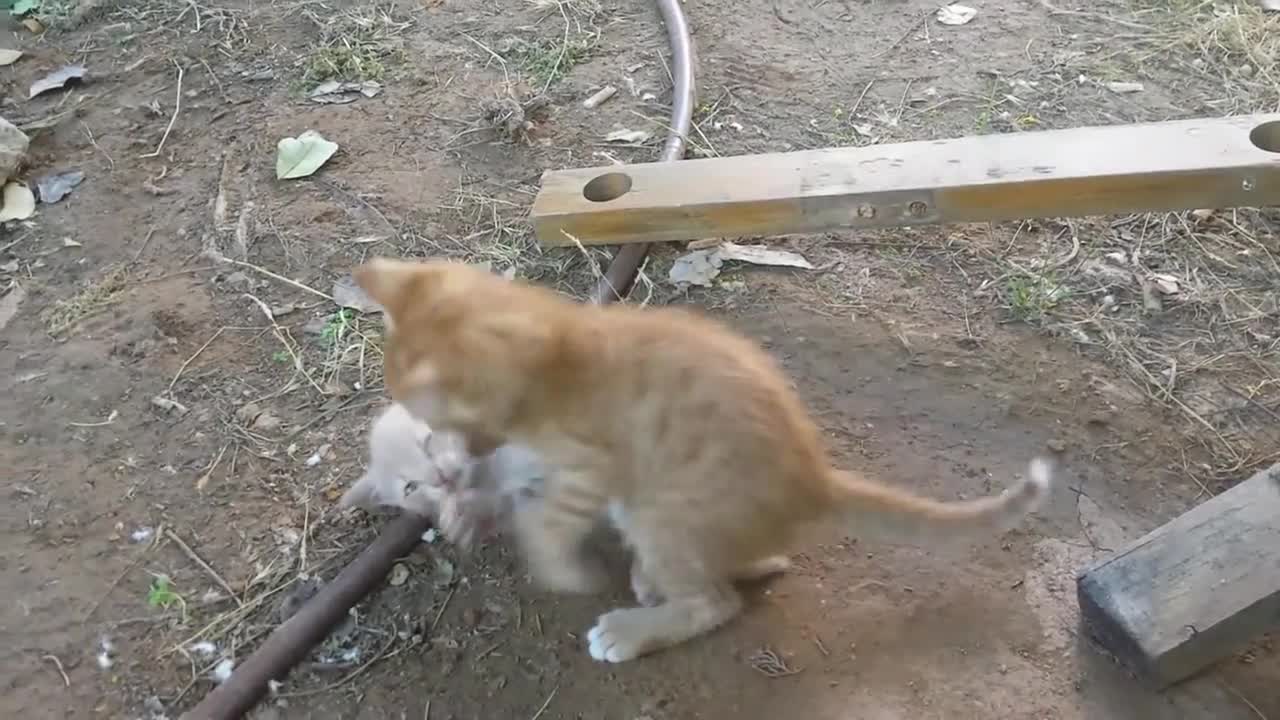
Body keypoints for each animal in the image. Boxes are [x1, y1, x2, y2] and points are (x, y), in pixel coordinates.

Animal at [350, 256, 1049, 661]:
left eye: (434, 428)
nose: (450, 468)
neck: (562, 346)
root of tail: (814, 478)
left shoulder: (589, 468)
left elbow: (546, 521)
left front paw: (557, 567)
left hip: (662, 511)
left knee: (719, 601)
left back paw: (633, 628)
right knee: (761, 560)